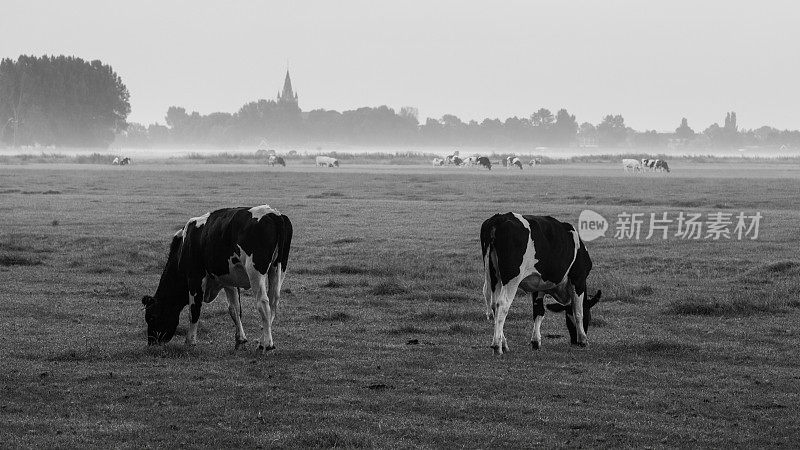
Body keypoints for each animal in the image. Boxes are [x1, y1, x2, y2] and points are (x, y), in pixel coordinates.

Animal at [143, 206, 294, 354]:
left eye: (152, 317)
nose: (152, 343)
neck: (184, 244)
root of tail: (273, 214)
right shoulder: (228, 280)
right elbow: (234, 309)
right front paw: (240, 340)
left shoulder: (194, 277)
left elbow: (194, 310)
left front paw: (190, 342)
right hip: (279, 268)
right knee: (273, 302)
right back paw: (262, 340)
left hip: (255, 271)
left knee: (263, 302)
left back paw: (266, 344)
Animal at [482, 213, 600, 354]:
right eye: (590, 317)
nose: (573, 342)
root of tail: (499, 218)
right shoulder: (578, 280)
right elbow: (578, 311)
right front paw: (583, 339)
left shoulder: (538, 287)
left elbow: (538, 312)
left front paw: (536, 341)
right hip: (512, 279)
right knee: (502, 304)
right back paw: (497, 346)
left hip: (494, 275)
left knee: (494, 305)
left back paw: (503, 343)